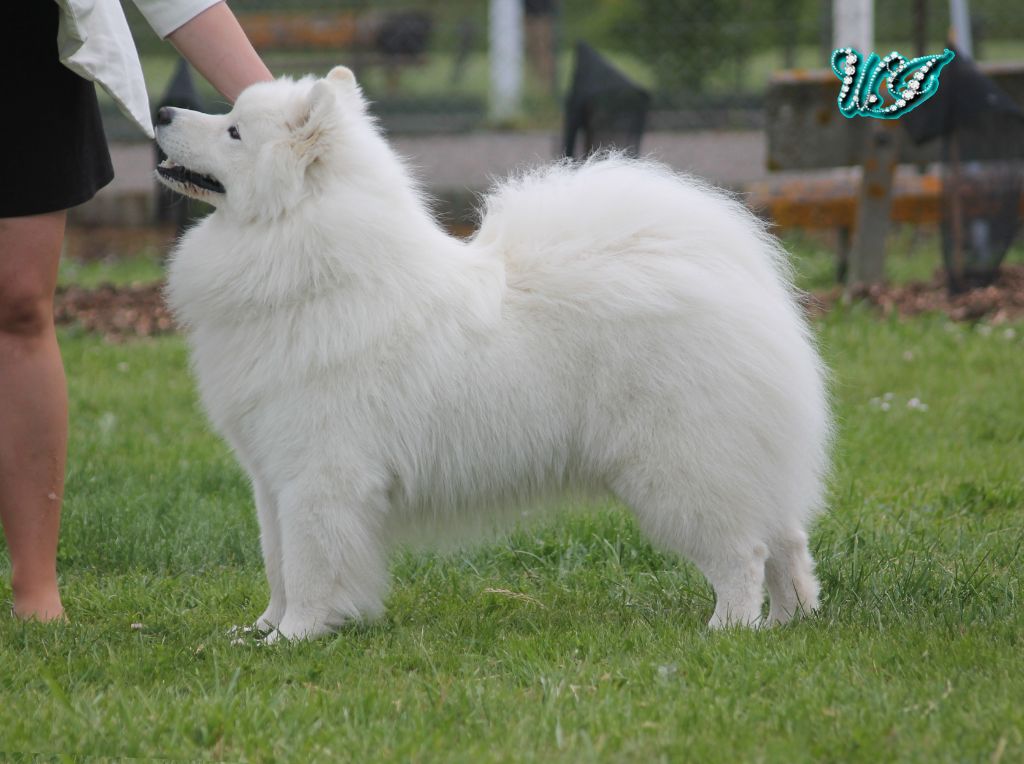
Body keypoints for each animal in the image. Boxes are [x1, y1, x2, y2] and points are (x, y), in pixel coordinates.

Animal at [157, 65, 831, 639]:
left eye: (233, 130)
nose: (161, 111)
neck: (310, 265)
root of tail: (734, 276)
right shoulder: (270, 478)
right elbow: (277, 564)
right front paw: (260, 631)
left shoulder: (318, 476)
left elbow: (308, 568)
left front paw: (296, 637)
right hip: (742, 465)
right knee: (787, 544)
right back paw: (787, 621)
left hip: (681, 468)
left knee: (744, 552)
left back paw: (729, 628)